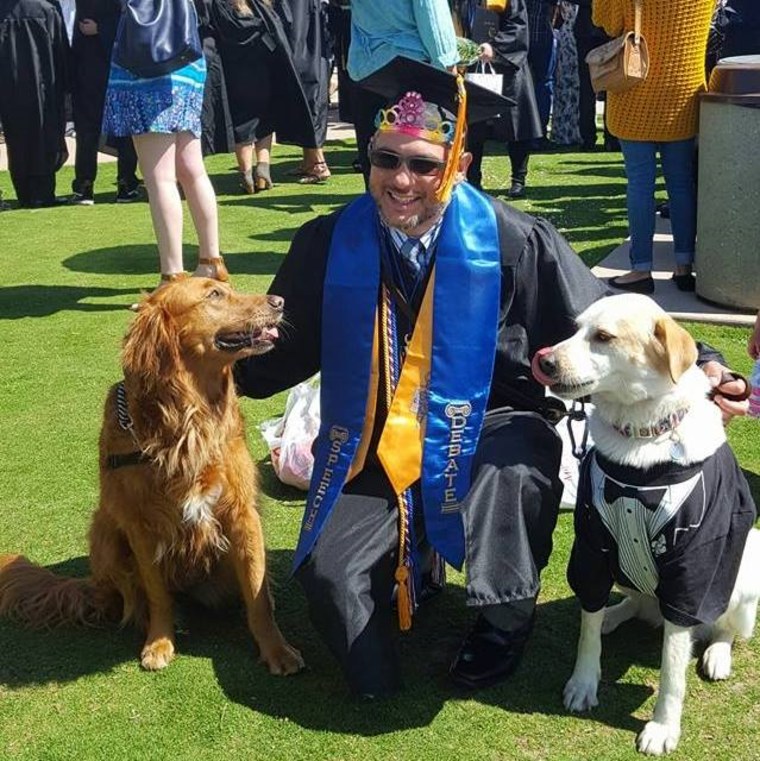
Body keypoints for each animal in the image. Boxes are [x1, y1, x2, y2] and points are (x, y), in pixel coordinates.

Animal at [532, 292, 756, 756]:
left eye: (603, 337)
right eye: (575, 329)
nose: (544, 360)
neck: (641, 436)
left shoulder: (693, 570)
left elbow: (672, 670)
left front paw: (663, 727)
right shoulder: (592, 548)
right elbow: (587, 633)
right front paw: (584, 682)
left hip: (748, 563)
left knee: (725, 628)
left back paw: (717, 654)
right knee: (631, 605)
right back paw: (614, 615)